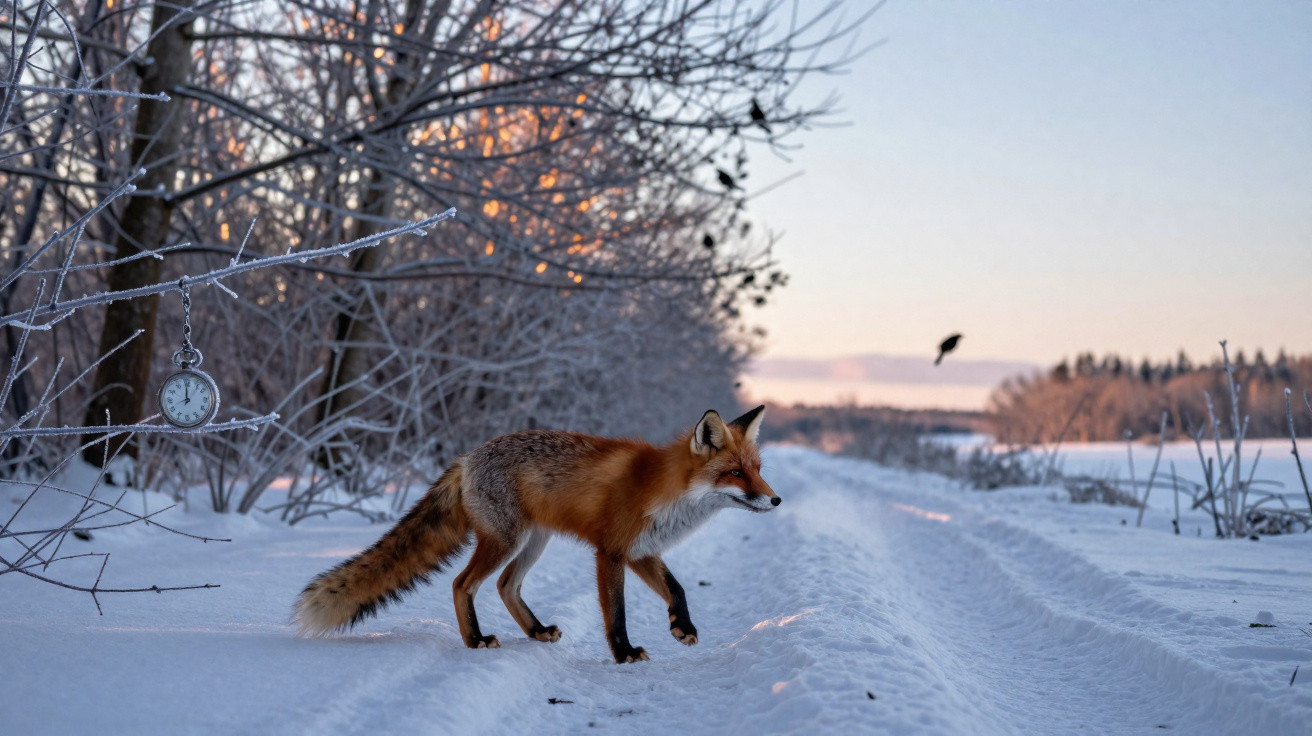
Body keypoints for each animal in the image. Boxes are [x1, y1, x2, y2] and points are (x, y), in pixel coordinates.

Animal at [293, 405, 779, 663]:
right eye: (735, 473)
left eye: (757, 469)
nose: (775, 501)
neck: (665, 492)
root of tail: (466, 457)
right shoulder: (611, 551)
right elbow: (616, 613)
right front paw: (623, 653)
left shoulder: (641, 551)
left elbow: (677, 588)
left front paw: (683, 625)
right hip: (505, 541)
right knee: (462, 584)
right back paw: (475, 640)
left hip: (533, 542)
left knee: (507, 586)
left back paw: (537, 630)